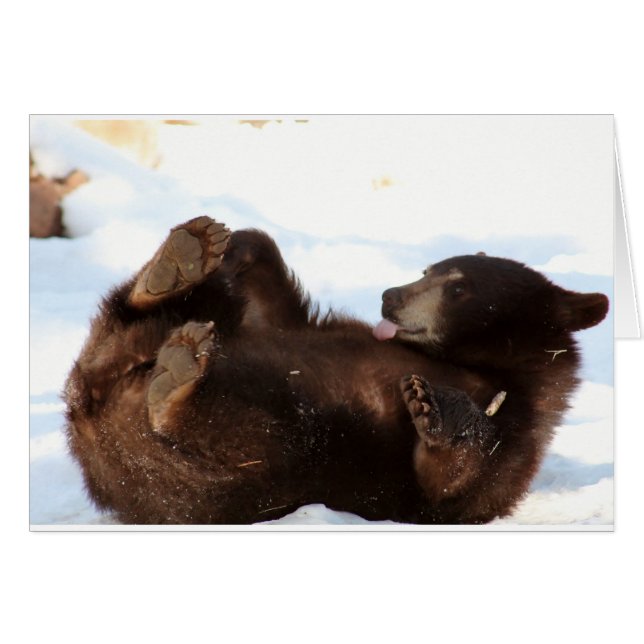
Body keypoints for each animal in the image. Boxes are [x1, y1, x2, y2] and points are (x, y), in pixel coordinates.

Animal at [63, 216, 609, 525]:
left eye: (458, 288)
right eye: (429, 269)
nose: (390, 296)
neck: (464, 360)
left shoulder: (519, 431)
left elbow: (455, 485)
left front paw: (432, 407)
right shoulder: (312, 327)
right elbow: (271, 312)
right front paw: (238, 242)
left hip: (266, 460)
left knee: (245, 434)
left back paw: (175, 383)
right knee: (142, 318)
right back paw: (179, 263)